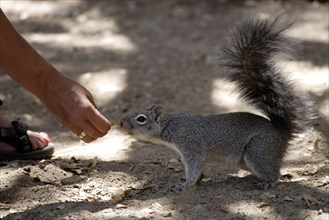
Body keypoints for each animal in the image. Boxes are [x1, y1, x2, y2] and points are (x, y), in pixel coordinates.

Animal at [119, 15, 314, 191]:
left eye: (141, 118)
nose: (120, 123)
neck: (170, 125)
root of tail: (282, 134)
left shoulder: (191, 145)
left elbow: (195, 166)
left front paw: (186, 184)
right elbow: (199, 169)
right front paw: (195, 180)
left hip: (258, 150)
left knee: (274, 173)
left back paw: (268, 182)